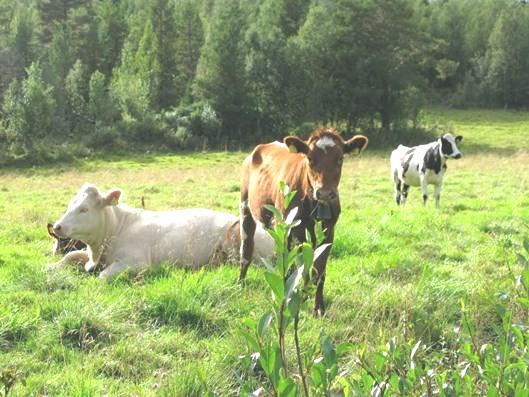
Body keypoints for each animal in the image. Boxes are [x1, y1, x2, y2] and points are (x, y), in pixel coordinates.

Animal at [47, 183, 274, 278]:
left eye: (84, 209)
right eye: (69, 205)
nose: (58, 226)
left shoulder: (137, 262)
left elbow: (102, 276)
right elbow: (71, 256)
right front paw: (50, 267)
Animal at [239, 128, 368, 314]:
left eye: (340, 158)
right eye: (310, 158)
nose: (324, 193)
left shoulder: (329, 229)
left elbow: (318, 268)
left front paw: (317, 305)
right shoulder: (287, 226)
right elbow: (291, 265)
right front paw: (288, 299)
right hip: (246, 206)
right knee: (247, 247)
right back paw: (240, 283)